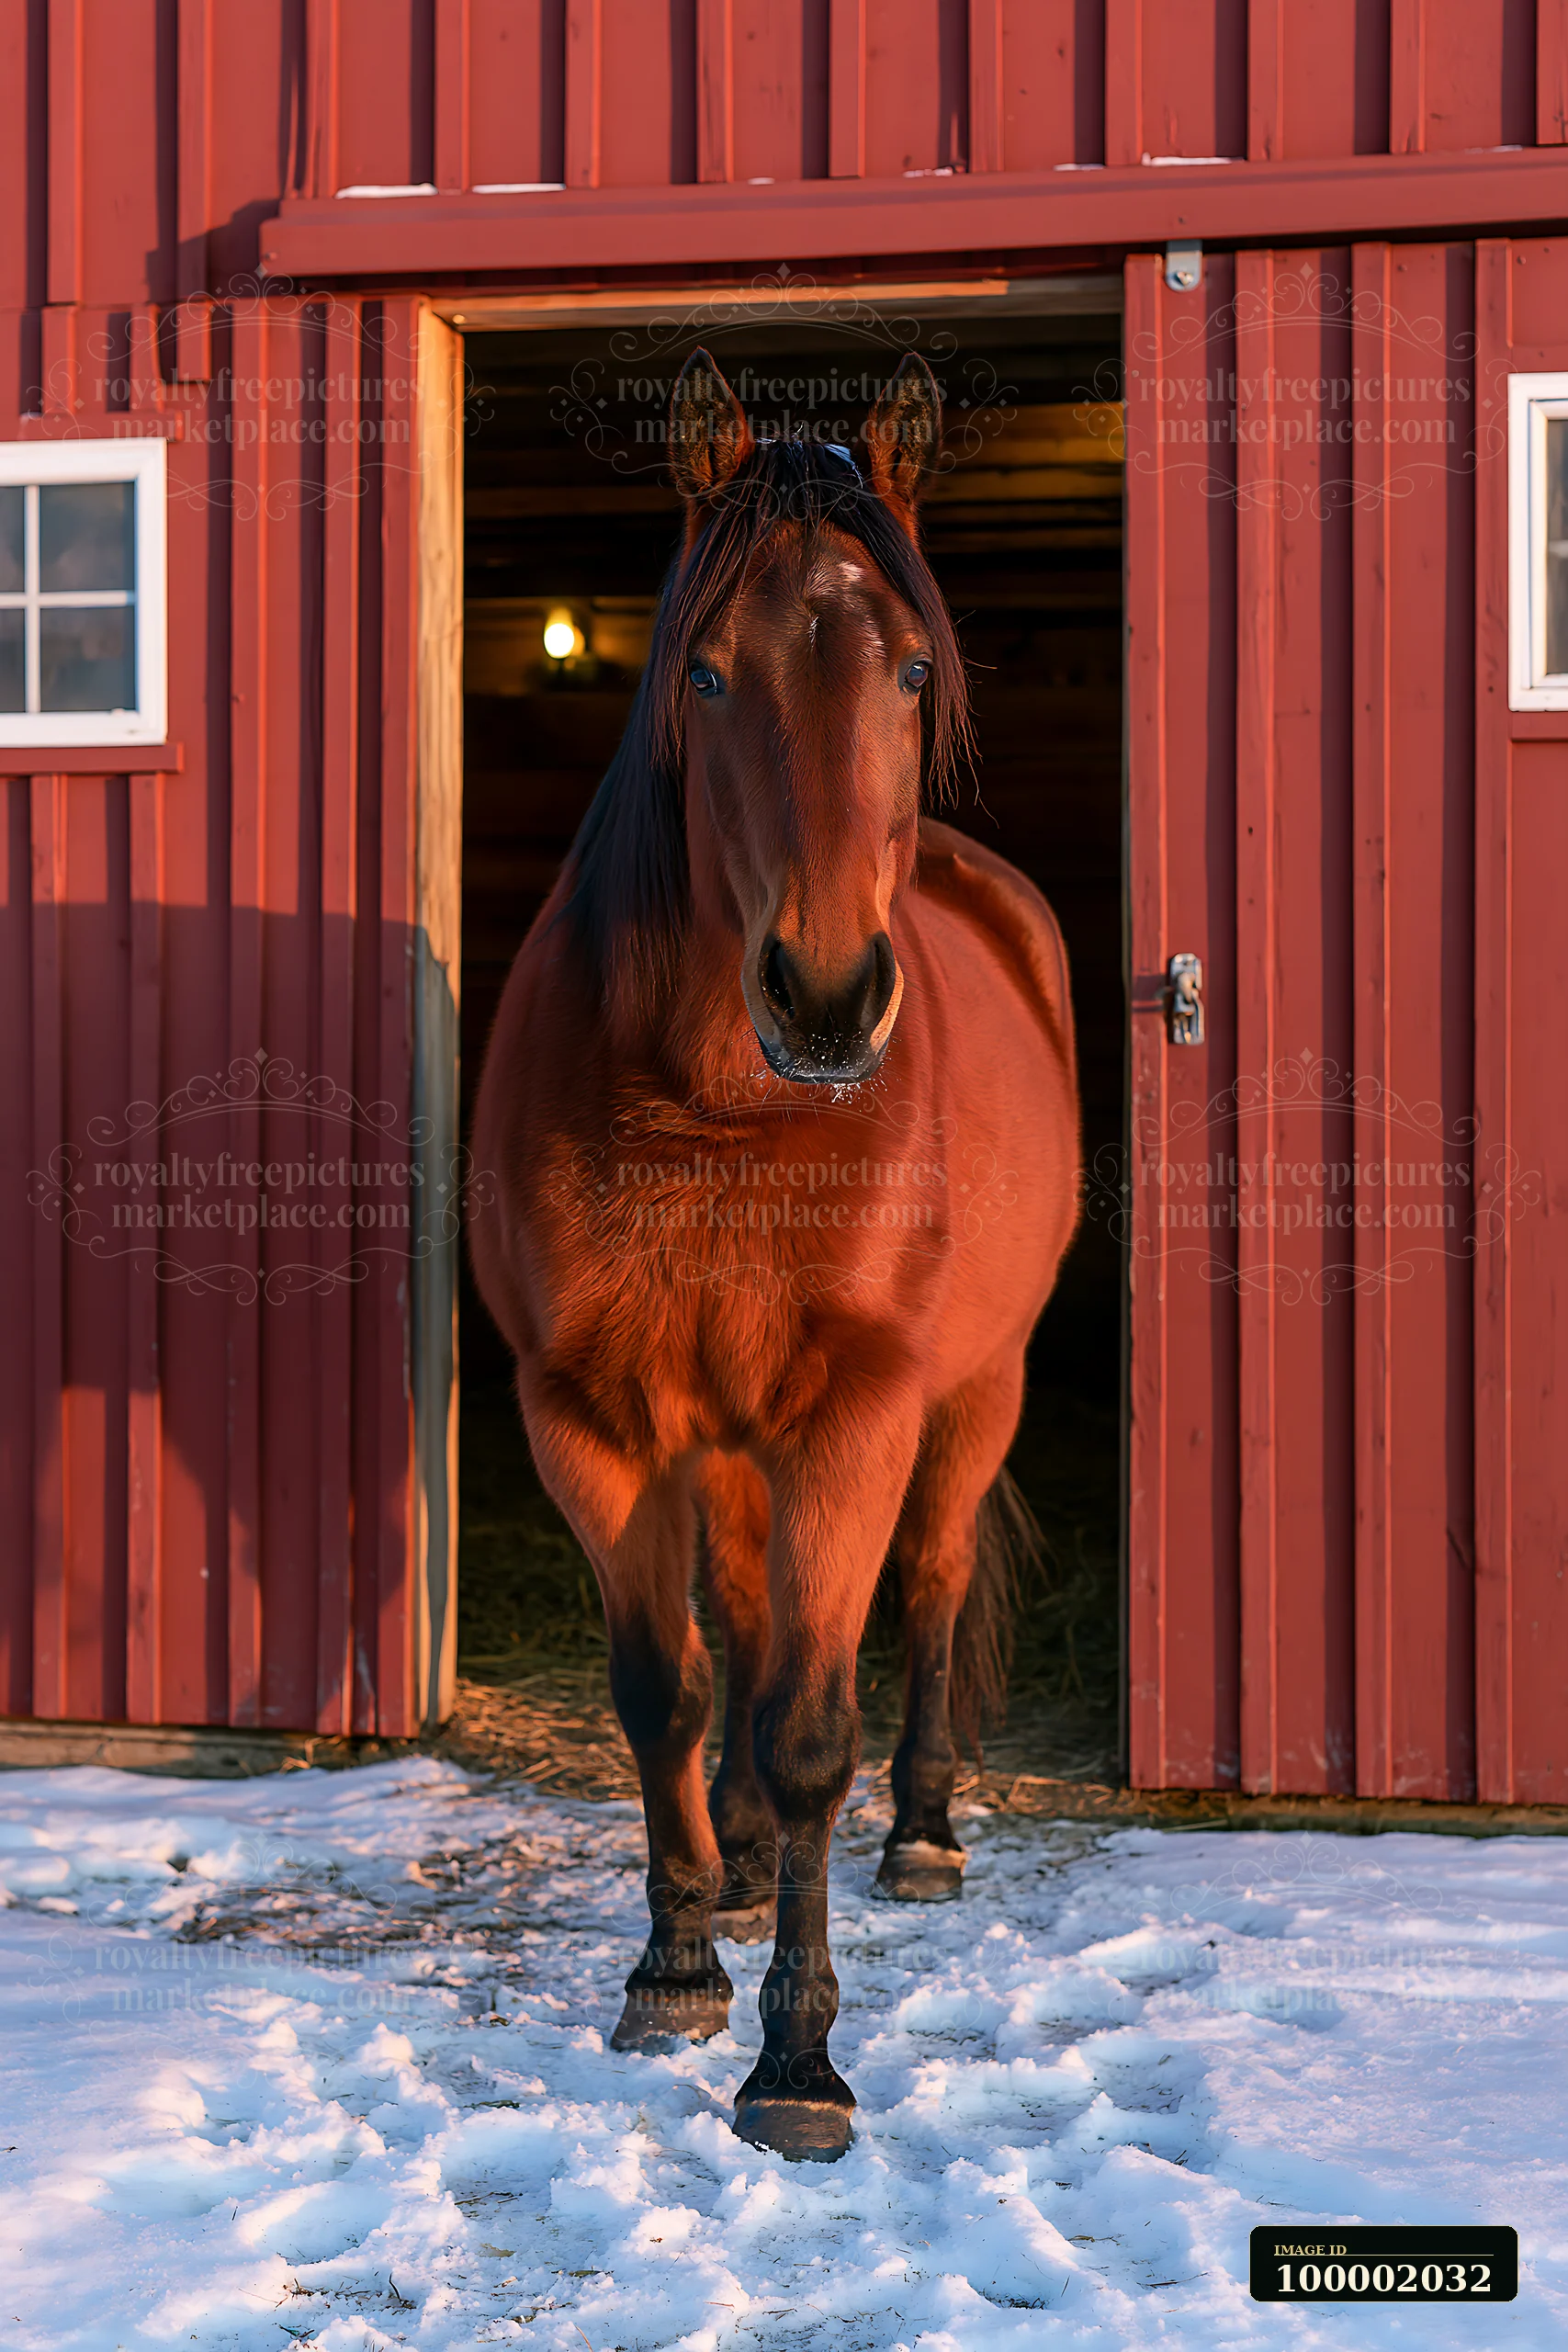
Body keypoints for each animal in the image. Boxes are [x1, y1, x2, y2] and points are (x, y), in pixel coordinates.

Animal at [470, 348, 1080, 2163]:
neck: (717, 1114)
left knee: (930, 1589)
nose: (822, 995)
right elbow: (661, 1690)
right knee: (735, 1625)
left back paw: (923, 1836)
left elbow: (814, 1723)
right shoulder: (590, 1420)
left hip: (968, 1397)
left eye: (910, 668)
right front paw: (673, 1963)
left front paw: (797, 2063)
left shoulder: (855, 1419)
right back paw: (734, 1860)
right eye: (709, 672)